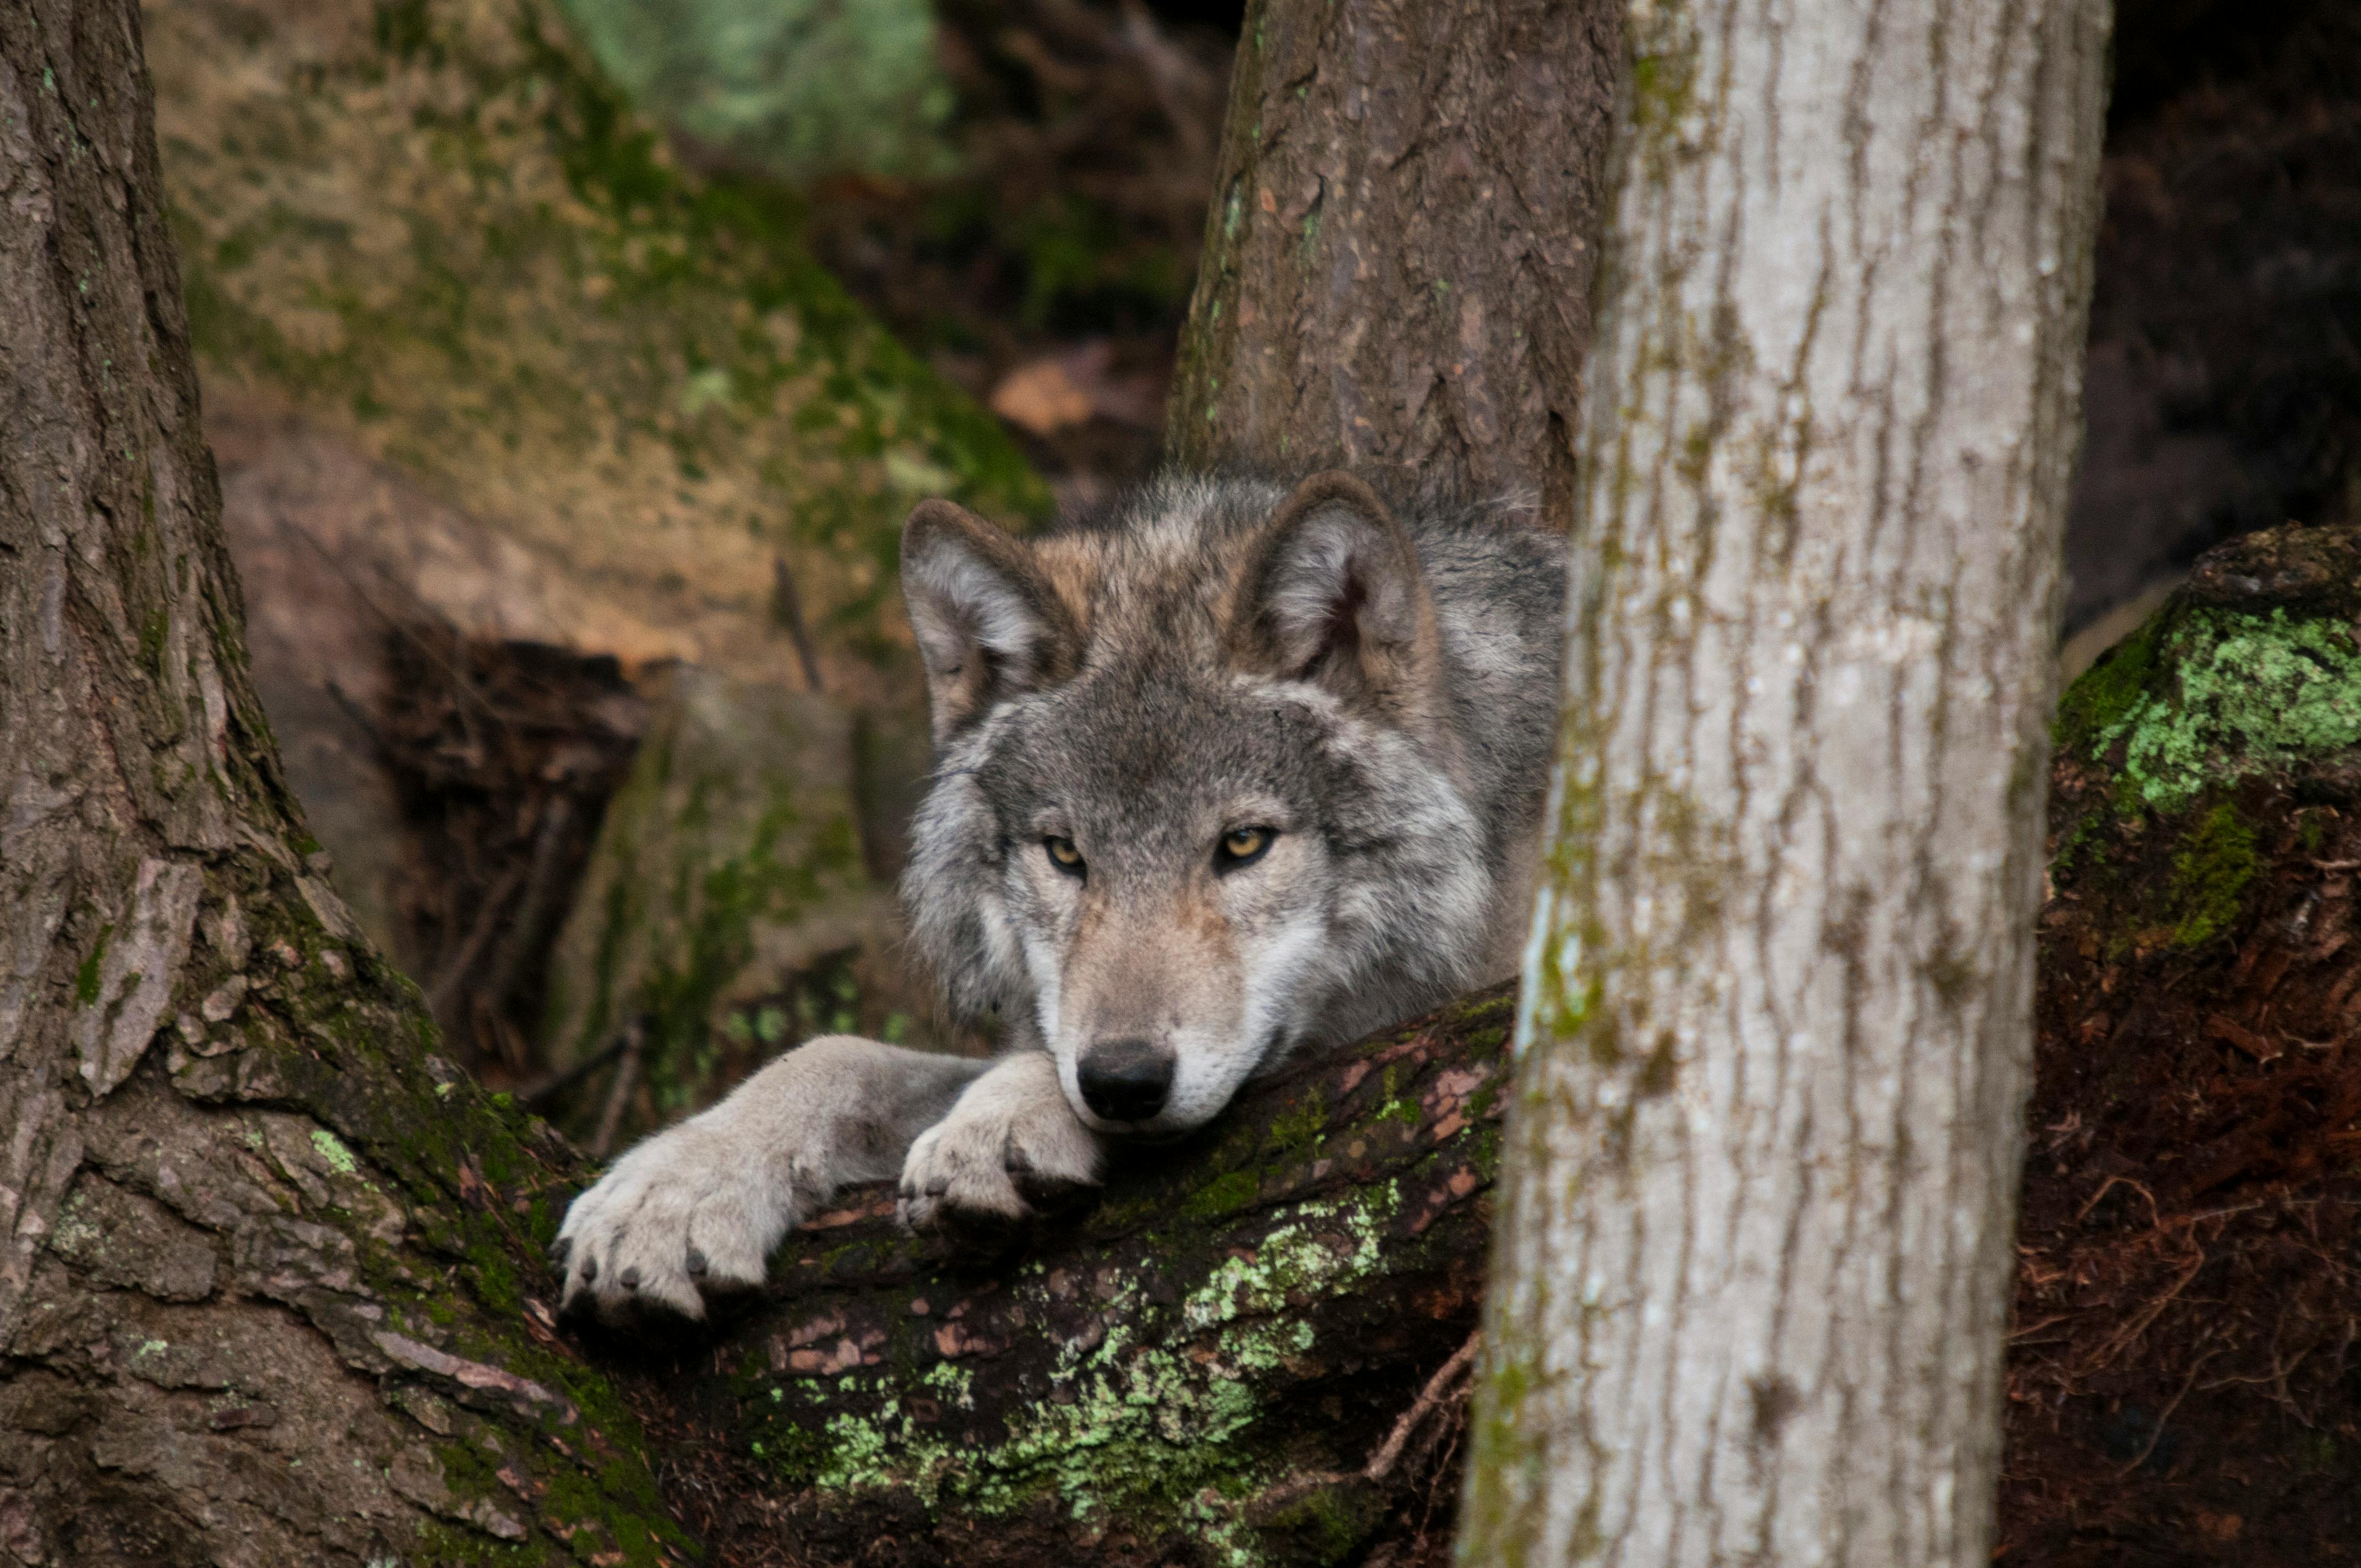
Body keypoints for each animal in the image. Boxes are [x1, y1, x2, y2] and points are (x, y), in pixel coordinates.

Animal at [552, 467, 1568, 1322]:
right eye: (1065, 853)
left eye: (1242, 845)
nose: (1121, 1083)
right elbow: (832, 1053)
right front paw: (671, 1187)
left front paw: (1001, 1120)